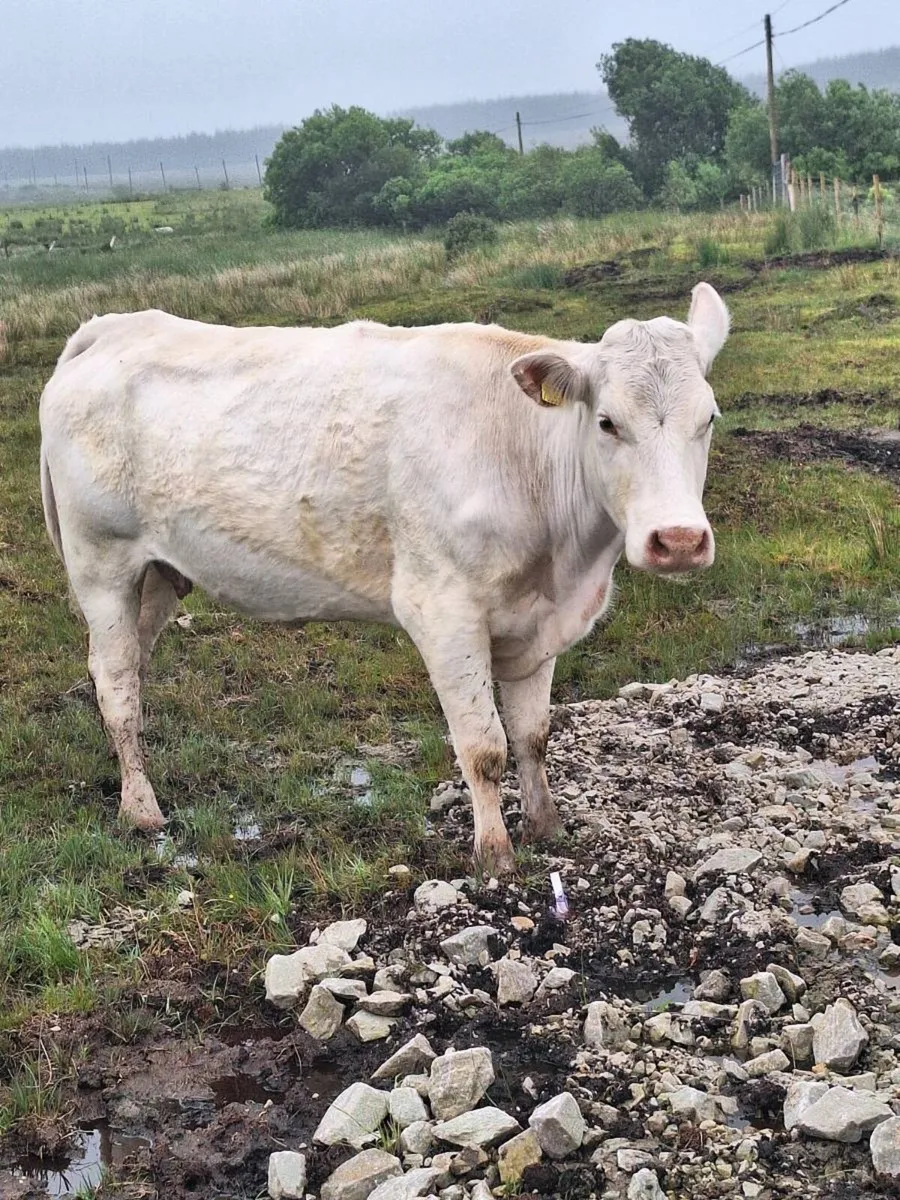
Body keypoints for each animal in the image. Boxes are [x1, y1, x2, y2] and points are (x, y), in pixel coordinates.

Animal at [39, 283, 729, 873]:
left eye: (710, 418)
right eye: (608, 422)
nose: (678, 540)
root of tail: (113, 326)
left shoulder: (537, 622)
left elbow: (533, 736)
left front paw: (546, 826)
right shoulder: (443, 611)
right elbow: (484, 747)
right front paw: (495, 856)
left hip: (158, 575)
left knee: (128, 668)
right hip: (102, 564)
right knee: (116, 684)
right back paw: (141, 809)